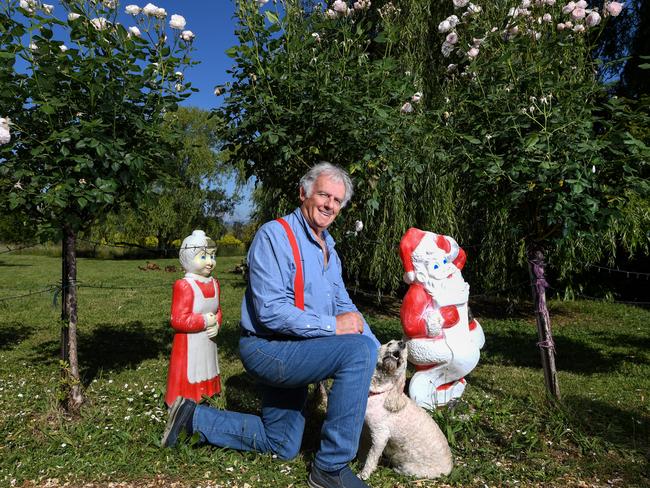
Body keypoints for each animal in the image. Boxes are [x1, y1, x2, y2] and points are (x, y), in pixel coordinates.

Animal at [356, 340, 454, 480]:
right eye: (390, 343)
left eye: (406, 353)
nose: (402, 343)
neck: (380, 392)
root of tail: (449, 469)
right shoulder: (365, 429)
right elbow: (363, 449)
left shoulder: (380, 435)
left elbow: (371, 458)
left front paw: (363, 475)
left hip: (412, 468)